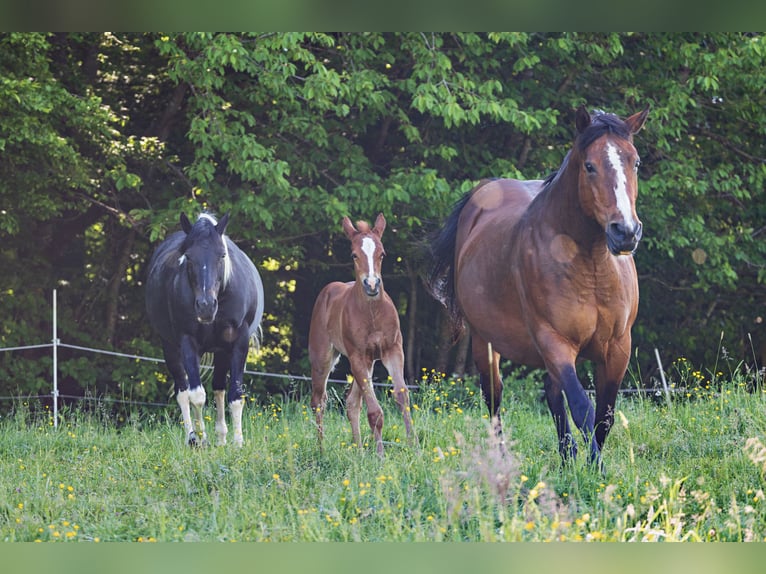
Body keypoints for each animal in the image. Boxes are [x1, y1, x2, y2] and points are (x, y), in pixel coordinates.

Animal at [146, 214, 266, 448]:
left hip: (221, 351)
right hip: (171, 348)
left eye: (222, 255)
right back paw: (192, 437)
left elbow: (235, 395)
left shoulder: (238, 342)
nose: (205, 306)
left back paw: (222, 438)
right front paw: (201, 439)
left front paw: (238, 442)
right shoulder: (187, 342)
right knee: (183, 390)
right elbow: (196, 396)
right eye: (188, 257)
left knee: (219, 387)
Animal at [308, 214, 414, 456]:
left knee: (351, 403)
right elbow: (374, 411)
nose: (372, 284)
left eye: (382, 253)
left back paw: (358, 451)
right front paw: (381, 456)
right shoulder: (357, 356)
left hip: (368, 362)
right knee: (319, 401)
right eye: (354, 255)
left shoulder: (393, 351)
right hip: (324, 358)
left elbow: (402, 396)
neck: (372, 313)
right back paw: (321, 450)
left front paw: (415, 449)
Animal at [428, 108, 652, 472]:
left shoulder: (618, 347)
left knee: (551, 393)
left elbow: (604, 416)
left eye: (635, 162)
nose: (626, 232)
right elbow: (583, 408)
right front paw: (595, 470)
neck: (591, 266)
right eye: (589, 166)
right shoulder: (555, 341)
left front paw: (589, 463)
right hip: (485, 344)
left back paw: (566, 457)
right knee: (494, 398)